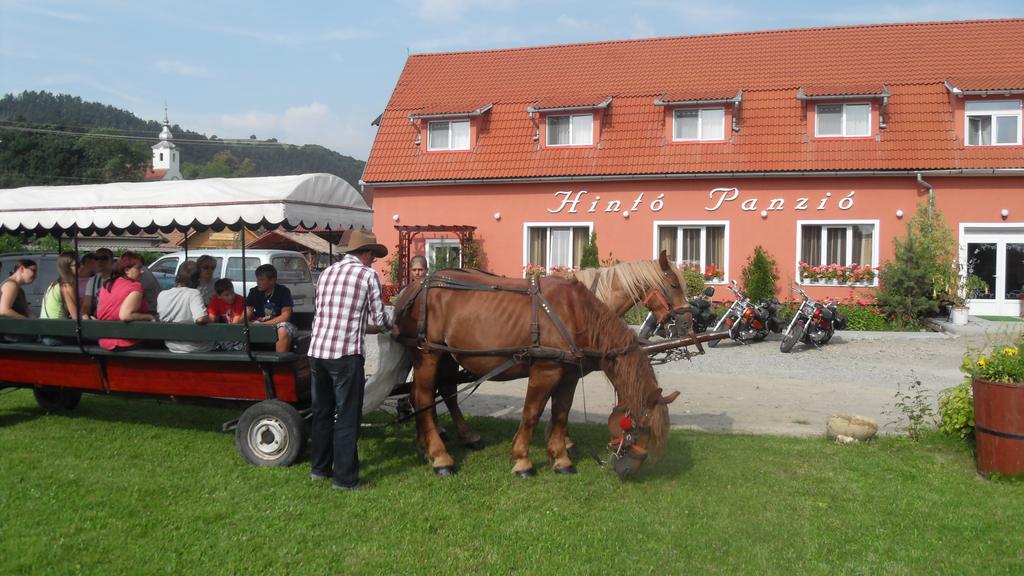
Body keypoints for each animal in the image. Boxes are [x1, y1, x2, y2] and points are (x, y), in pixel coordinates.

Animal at [393, 268, 679, 475]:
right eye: (638, 428)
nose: (627, 470)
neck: (575, 314)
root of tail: (412, 287)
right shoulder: (545, 371)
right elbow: (531, 414)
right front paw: (523, 460)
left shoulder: (569, 376)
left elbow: (560, 414)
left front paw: (561, 458)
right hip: (428, 355)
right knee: (423, 398)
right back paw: (441, 457)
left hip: (447, 357)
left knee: (438, 393)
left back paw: (433, 445)